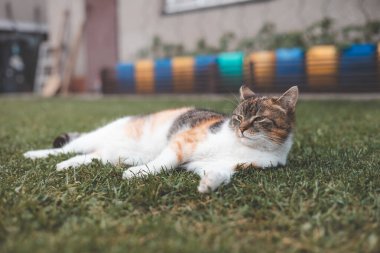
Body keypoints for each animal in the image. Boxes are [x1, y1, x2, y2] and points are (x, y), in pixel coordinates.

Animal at [23, 86, 298, 193]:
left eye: (258, 119)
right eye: (238, 117)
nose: (241, 128)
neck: (245, 148)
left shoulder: (215, 165)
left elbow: (220, 173)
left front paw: (209, 185)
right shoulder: (183, 141)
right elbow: (165, 162)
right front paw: (136, 174)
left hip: (114, 154)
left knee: (90, 156)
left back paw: (66, 166)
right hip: (101, 135)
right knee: (67, 148)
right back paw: (34, 155)